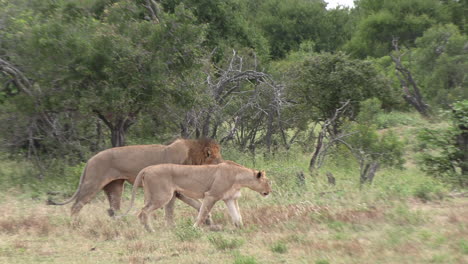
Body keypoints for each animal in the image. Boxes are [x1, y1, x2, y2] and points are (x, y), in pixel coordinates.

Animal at [47, 137, 223, 218]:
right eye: (218, 159)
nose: (225, 165)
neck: (193, 158)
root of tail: (90, 159)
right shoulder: (175, 189)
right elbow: (192, 204)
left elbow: (197, 204)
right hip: (93, 183)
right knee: (76, 206)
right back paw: (74, 225)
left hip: (115, 187)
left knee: (114, 209)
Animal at [121, 161, 270, 231]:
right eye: (268, 182)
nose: (269, 191)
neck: (239, 178)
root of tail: (147, 168)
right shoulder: (211, 195)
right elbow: (203, 213)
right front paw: (194, 228)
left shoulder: (230, 198)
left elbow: (237, 216)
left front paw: (241, 228)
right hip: (162, 195)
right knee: (144, 211)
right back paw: (151, 230)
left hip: (152, 195)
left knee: (141, 212)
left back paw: (146, 230)